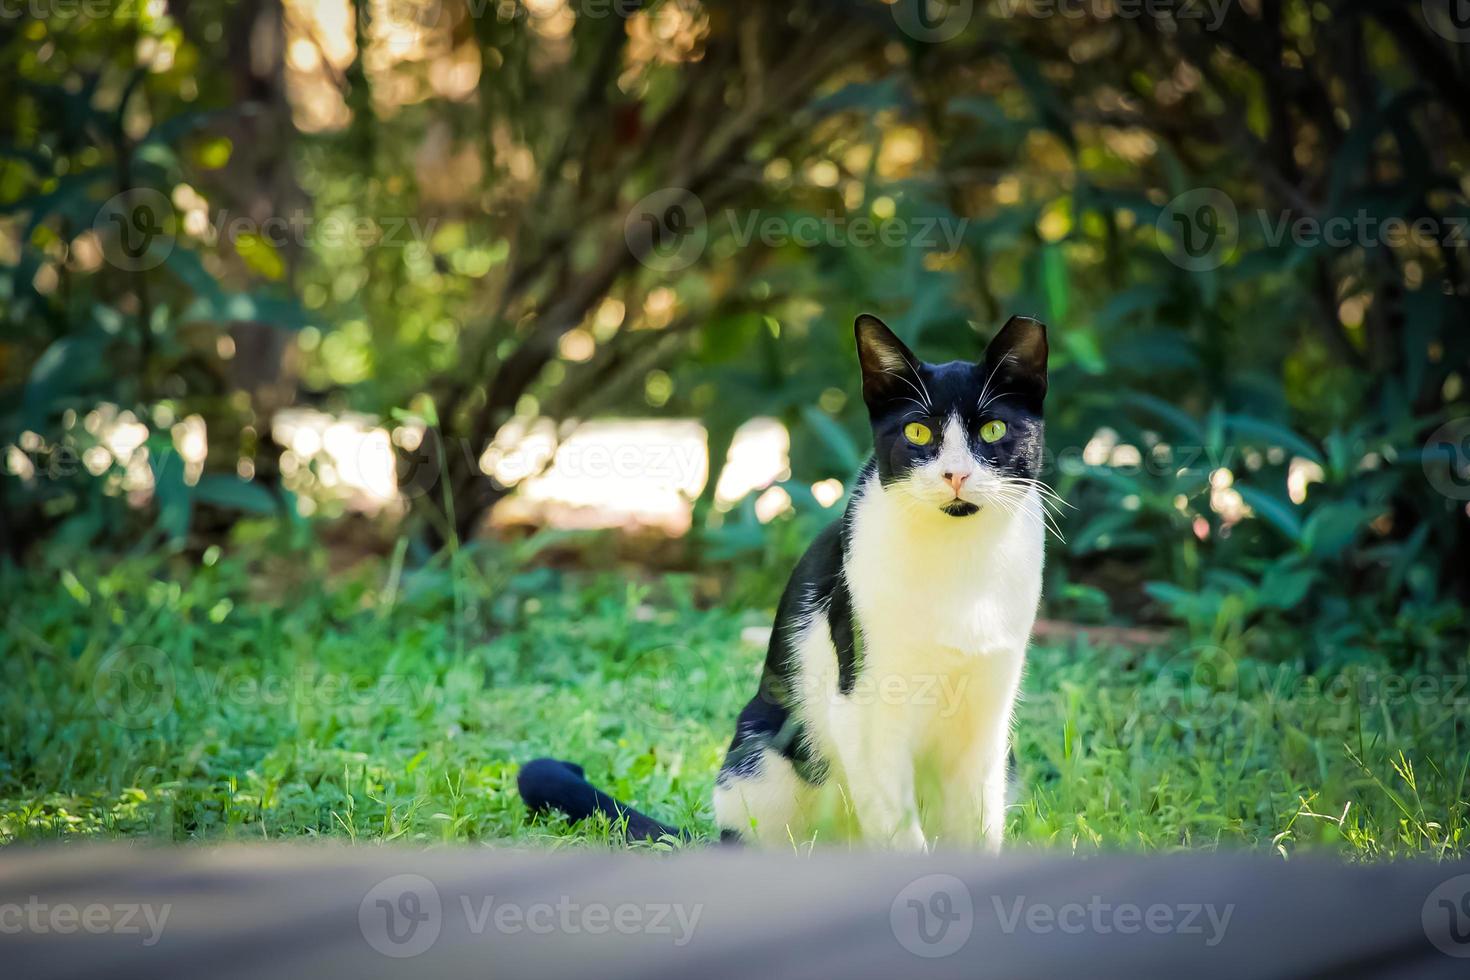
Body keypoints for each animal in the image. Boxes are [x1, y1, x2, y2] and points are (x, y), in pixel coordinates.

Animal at [517, 312, 1046, 852]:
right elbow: (899, 828)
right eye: (918, 431)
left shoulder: (987, 720)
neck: (959, 560)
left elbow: (977, 827)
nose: (955, 475)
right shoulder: (866, 710)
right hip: (760, 755)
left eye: (994, 429)